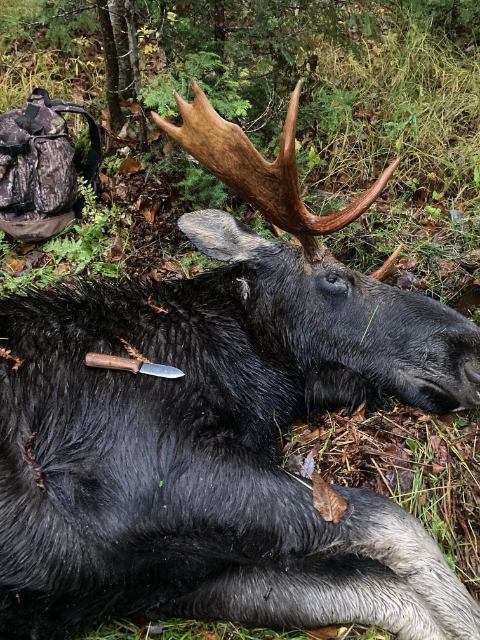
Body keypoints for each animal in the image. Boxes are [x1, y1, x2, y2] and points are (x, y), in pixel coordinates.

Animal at [0, 82, 479, 640]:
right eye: (335, 278)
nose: (470, 351)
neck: (244, 374)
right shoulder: (157, 473)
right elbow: (399, 524)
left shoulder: (169, 580)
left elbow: (383, 591)